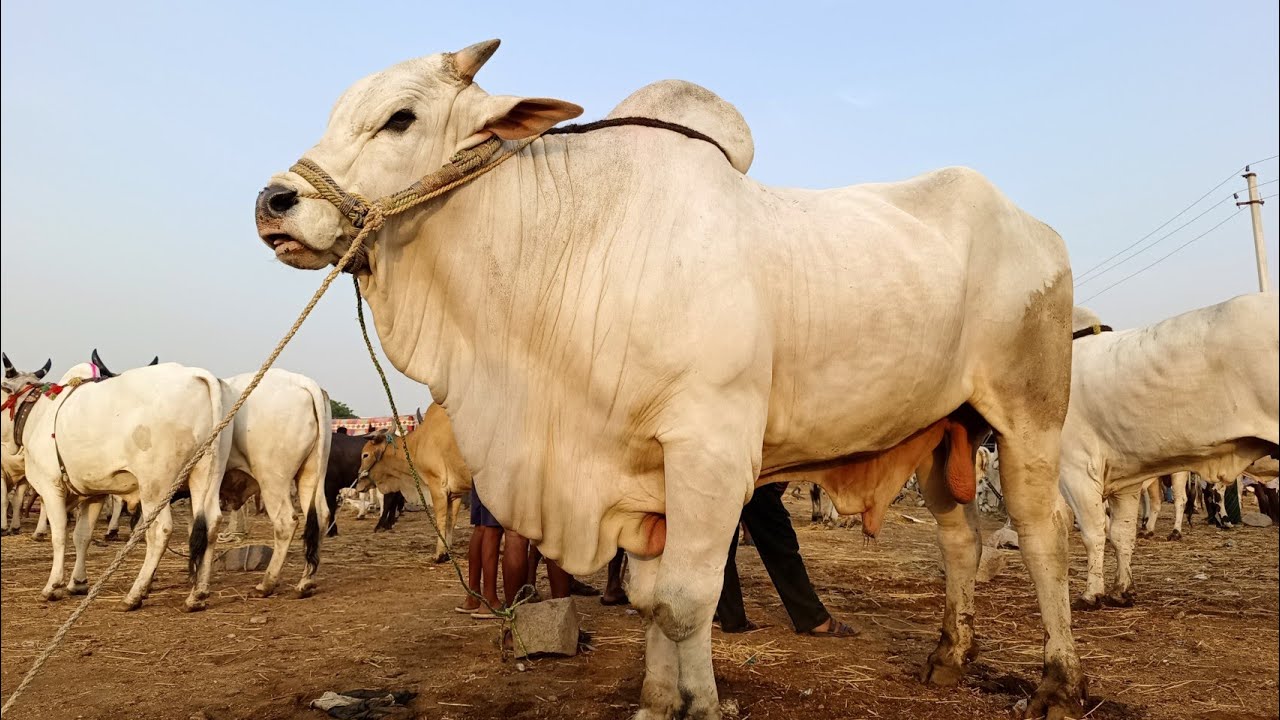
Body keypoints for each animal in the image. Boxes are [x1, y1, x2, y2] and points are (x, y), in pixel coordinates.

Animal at [0, 357, 232, 611]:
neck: (37, 413)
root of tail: (197, 375)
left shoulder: (51, 486)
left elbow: (59, 534)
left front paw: (53, 586)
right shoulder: (93, 494)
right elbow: (82, 536)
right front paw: (77, 583)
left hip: (155, 486)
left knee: (159, 531)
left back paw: (135, 594)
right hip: (206, 473)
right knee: (211, 524)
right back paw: (197, 594)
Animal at [355, 404, 470, 562]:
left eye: (365, 455)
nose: (358, 482)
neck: (418, 444)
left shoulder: (437, 486)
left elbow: (441, 520)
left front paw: (439, 554)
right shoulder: (455, 493)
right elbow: (451, 521)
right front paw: (447, 552)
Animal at [1058, 295, 1278, 610]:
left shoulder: (1076, 468)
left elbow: (1094, 532)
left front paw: (1091, 594)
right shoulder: (1125, 482)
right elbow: (1121, 534)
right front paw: (1121, 590)